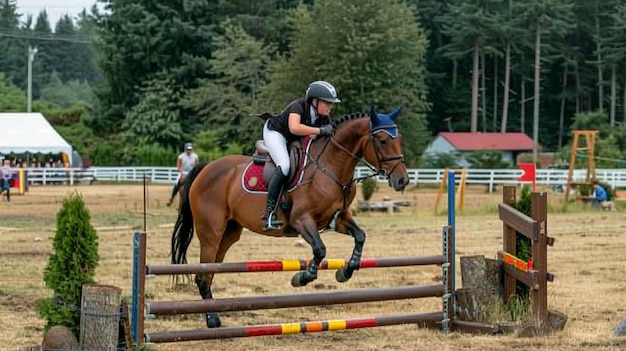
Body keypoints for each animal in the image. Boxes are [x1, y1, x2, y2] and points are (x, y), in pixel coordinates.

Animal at [169, 103, 410, 328]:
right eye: (382, 141)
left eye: (400, 139)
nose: (402, 180)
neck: (330, 166)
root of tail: (206, 167)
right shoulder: (301, 220)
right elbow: (320, 250)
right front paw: (301, 277)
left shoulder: (338, 218)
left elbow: (360, 236)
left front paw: (345, 271)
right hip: (211, 232)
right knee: (203, 274)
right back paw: (211, 319)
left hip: (229, 232)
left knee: (210, 272)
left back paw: (214, 317)